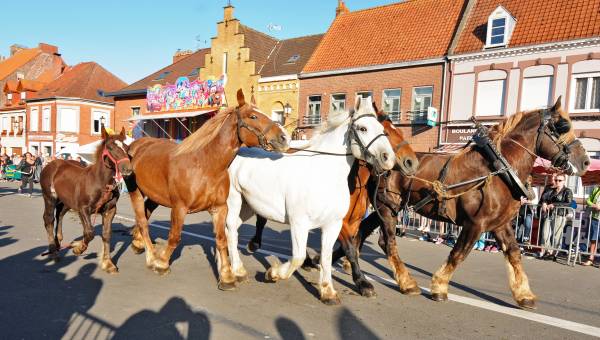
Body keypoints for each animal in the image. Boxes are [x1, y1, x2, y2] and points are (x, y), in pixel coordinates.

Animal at [40, 126, 132, 272]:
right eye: (110, 147)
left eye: (126, 147)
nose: (127, 168)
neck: (100, 182)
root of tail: (51, 164)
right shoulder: (84, 208)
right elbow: (89, 232)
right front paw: (78, 248)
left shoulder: (110, 210)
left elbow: (106, 234)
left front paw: (108, 263)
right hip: (49, 197)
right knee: (49, 219)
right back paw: (53, 252)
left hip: (66, 202)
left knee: (60, 215)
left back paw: (58, 241)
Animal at [126, 89, 288, 290]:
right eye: (253, 116)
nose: (283, 138)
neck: (206, 166)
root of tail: (136, 145)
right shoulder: (179, 208)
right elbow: (175, 237)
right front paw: (162, 263)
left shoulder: (220, 208)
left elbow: (221, 239)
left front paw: (226, 276)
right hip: (136, 192)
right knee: (142, 221)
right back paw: (150, 256)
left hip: (155, 196)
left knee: (146, 215)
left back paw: (138, 243)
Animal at [227, 97, 396, 304]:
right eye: (363, 128)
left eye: (382, 129)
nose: (388, 158)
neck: (323, 175)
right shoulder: (299, 223)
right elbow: (298, 257)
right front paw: (273, 273)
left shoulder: (333, 224)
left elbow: (326, 257)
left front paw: (328, 292)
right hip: (234, 200)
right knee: (231, 228)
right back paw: (236, 270)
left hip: (248, 206)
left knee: (233, 229)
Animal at [350, 97, 588, 308]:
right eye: (561, 127)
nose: (585, 161)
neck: (499, 169)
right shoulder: (475, 223)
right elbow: (459, 253)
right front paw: (439, 287)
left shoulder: (500, 224)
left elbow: (514, 253)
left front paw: (524, 294)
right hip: (386, 206)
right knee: (388, 242)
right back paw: (407, 283)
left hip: (388, 206)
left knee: (365, 229)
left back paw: (348, 261)